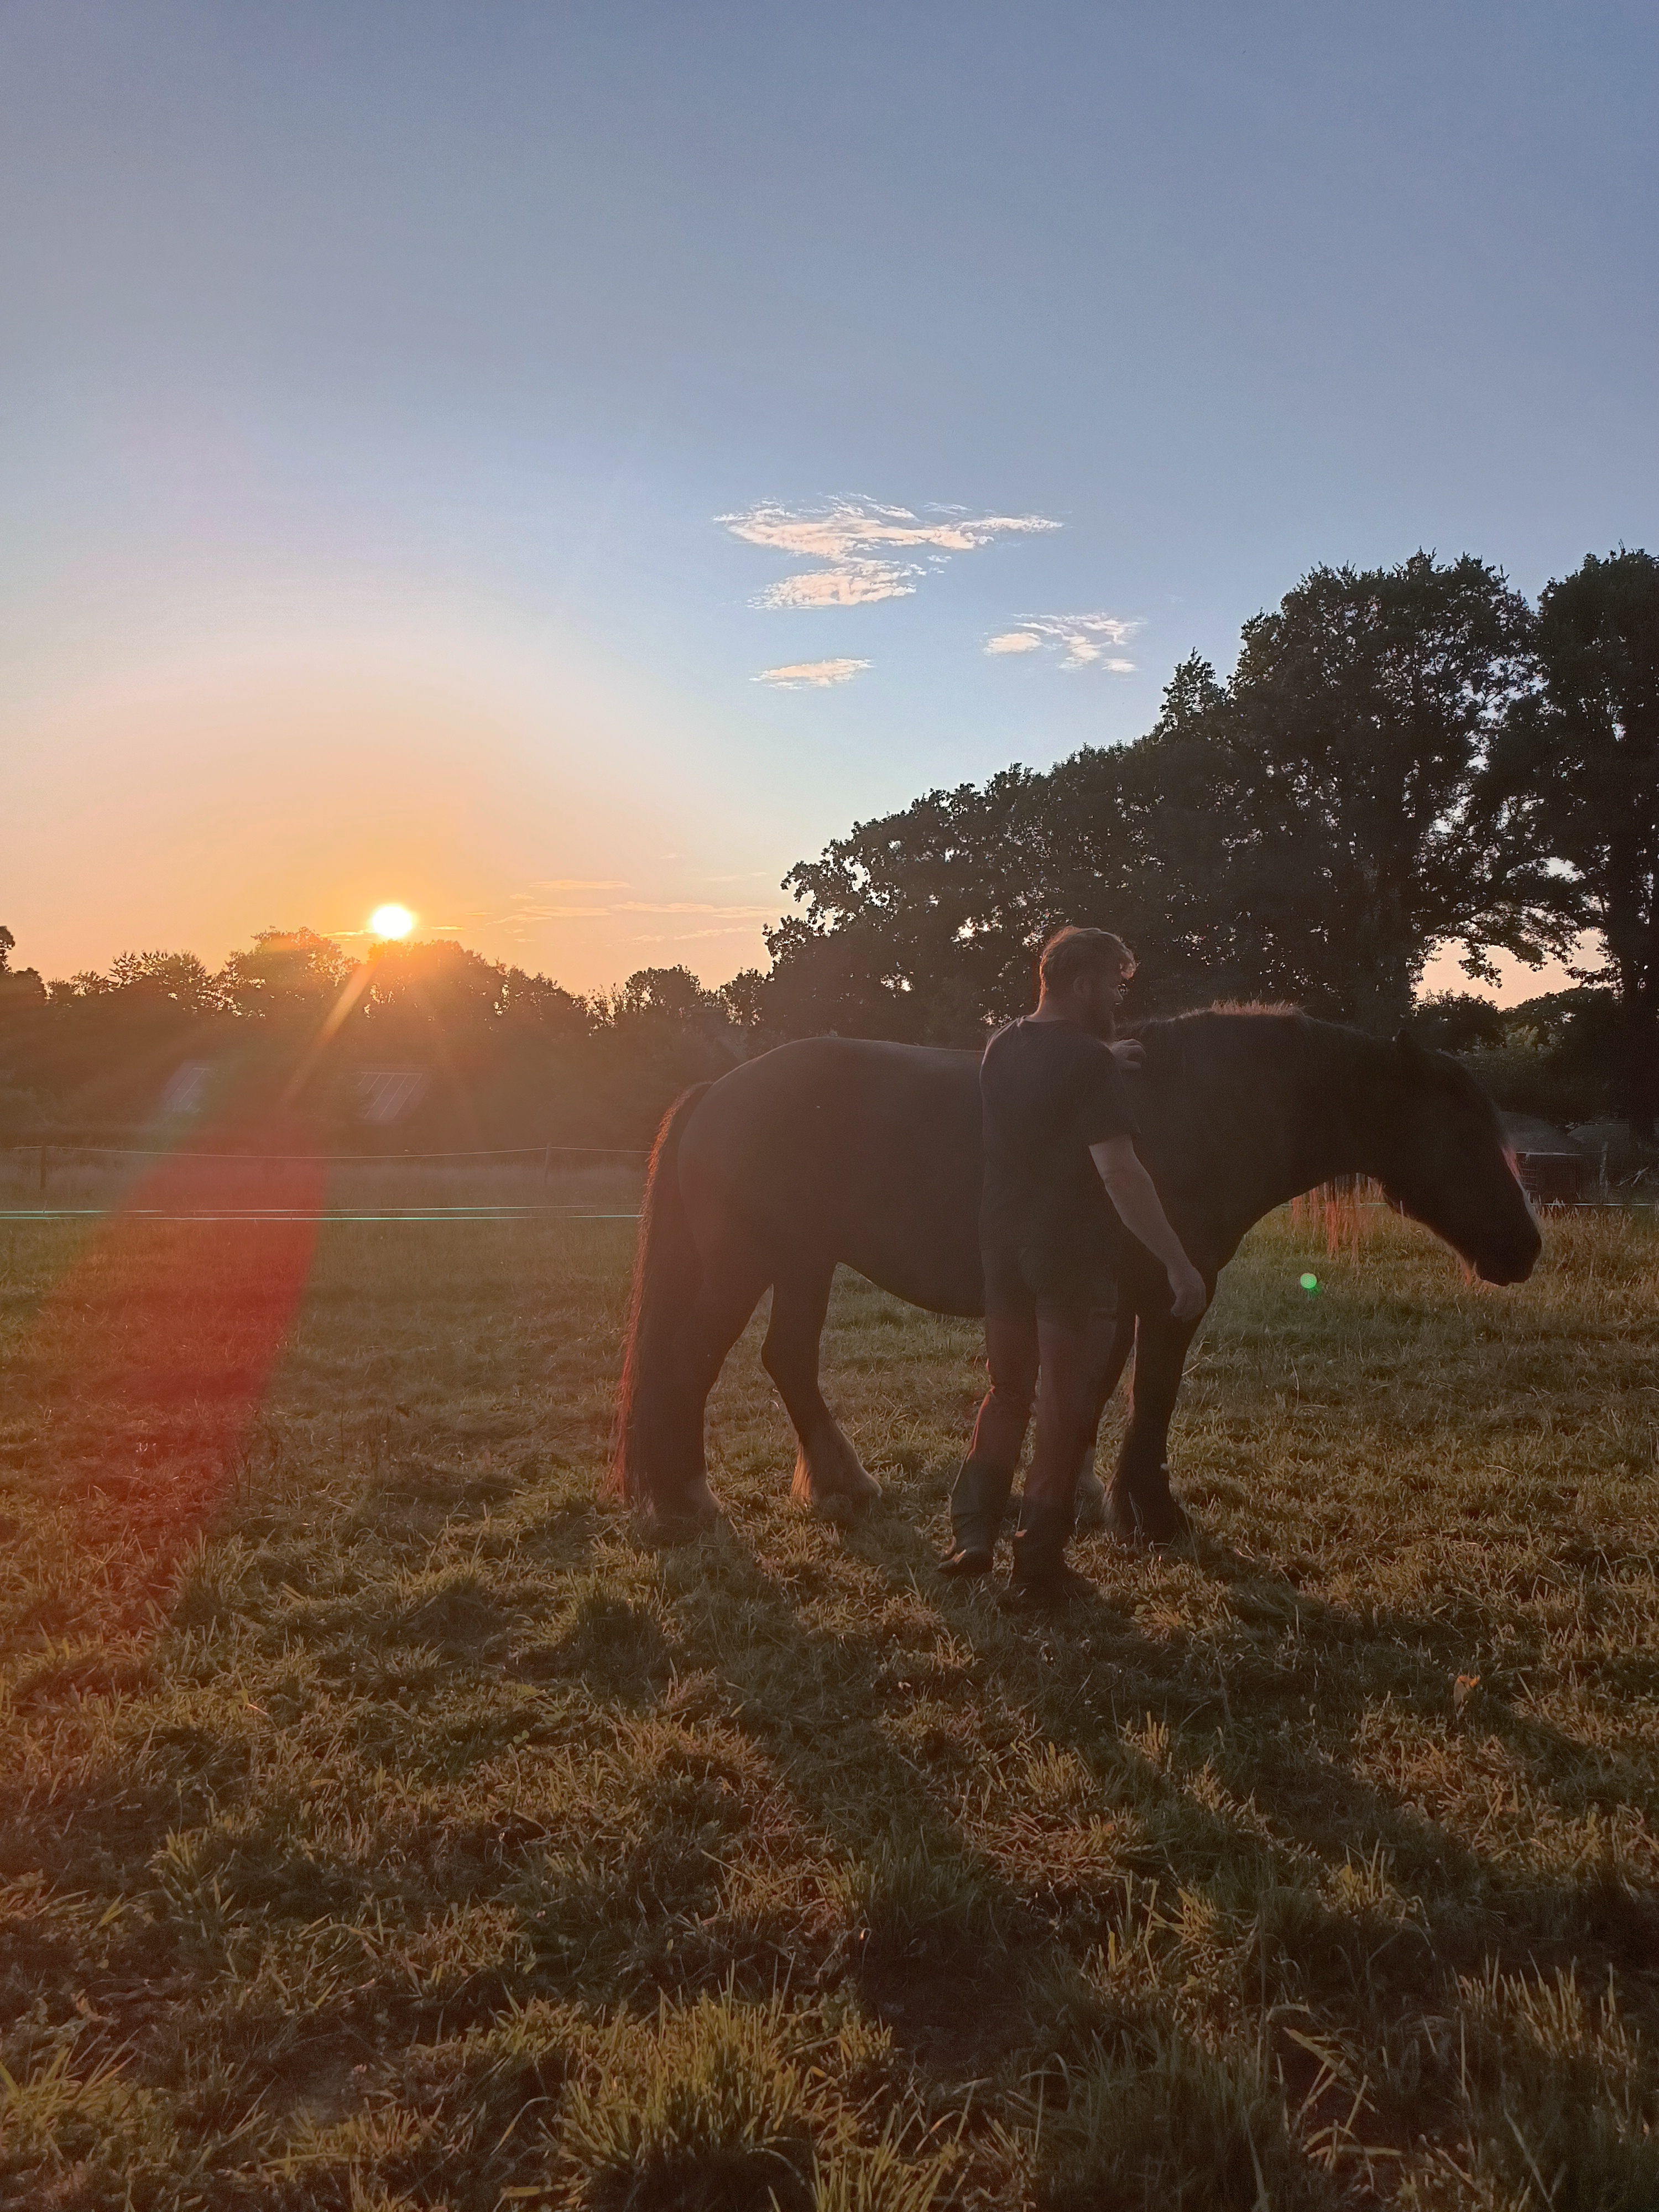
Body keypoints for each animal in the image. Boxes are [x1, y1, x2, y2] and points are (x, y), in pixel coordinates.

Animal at [612, 1009, 1541, 1545]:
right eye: (1462, 1129)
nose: (1525, 1248)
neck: (1184, 1110)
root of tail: (718, 1089)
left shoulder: (1114, 1295)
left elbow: (1094, 1393)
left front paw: (1085, 1496)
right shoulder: (1174, 1294)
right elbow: (1151, 1395)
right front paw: (1151, 1514)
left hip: (806, 1263)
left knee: (787, 1363)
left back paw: (842, 1487)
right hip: (750, 1264)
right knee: (688, 1366)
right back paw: (689, 1503)